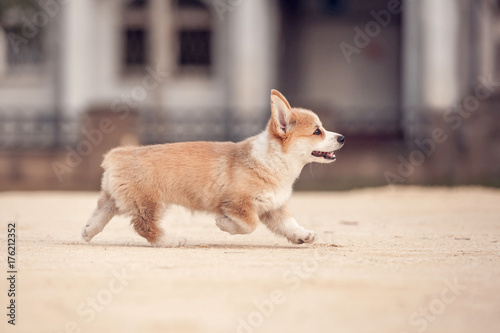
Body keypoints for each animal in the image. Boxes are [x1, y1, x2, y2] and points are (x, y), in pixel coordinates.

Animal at [83, 89, 344, 245]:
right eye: (317, 132)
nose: (342, 138)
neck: (275, 160)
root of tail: (117, 154)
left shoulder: (273, 207)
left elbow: (288, 224)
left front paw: (302, 235)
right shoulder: (238, 204)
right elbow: (249, 225)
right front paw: (224, 224)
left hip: (115, 198)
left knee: (101, 212)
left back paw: (88, 231)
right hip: (149, 202)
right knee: (145, 226)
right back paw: (171, 240)